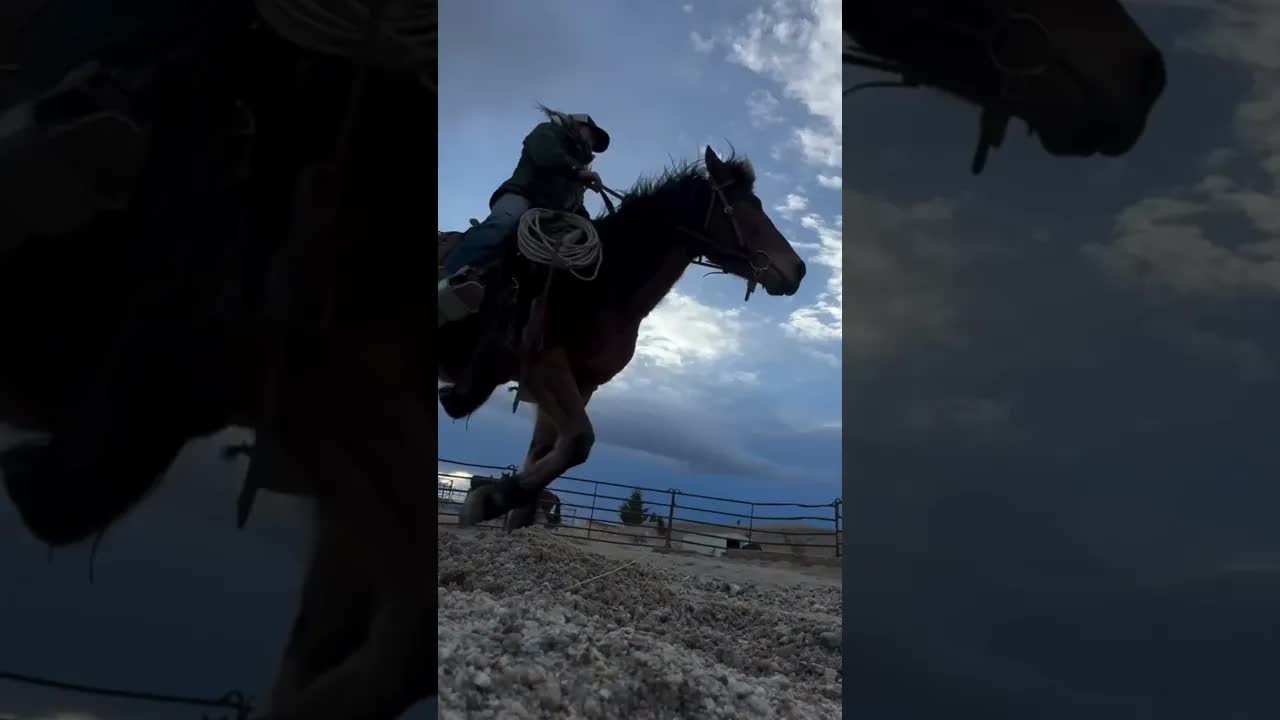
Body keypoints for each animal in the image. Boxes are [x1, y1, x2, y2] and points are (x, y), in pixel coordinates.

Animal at [438, 146, 807, 531]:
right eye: (748, 206)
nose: (798, 269)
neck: (602, 282)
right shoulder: (542, 364)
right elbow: (579, 441)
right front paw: (485, 501)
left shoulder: (581, 383)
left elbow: (546, 457)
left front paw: (500, 504)